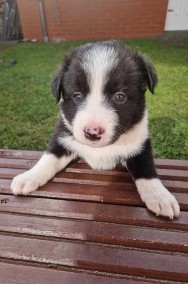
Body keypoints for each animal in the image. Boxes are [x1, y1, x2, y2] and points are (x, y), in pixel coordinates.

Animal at [11, 40, 179, 219]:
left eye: (120, 97)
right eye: (77, 96)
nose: (92, 132)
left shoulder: (140, 144)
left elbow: (147, 170)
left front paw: (160, 197)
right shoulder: (62, 137)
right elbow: (48, 158)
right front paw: (29, 177)